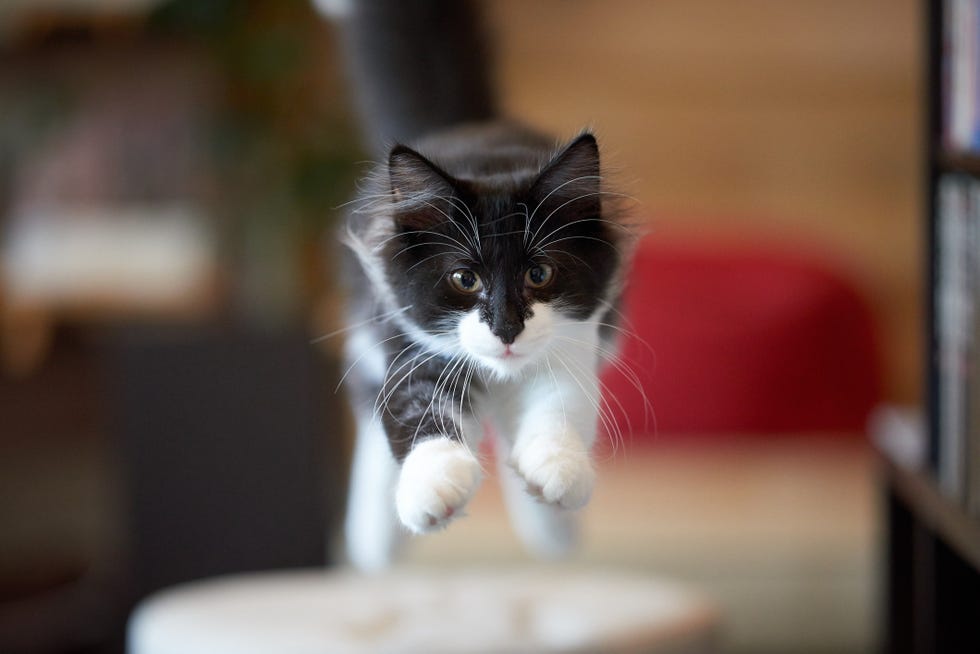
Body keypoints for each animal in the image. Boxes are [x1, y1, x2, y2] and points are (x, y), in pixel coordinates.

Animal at [340, 120, 624, 572]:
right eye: (464, 279)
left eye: (539, 274)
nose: (506, 329)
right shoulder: (411, 345)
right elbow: (415, 408)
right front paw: (435, 482)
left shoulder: (574, 343)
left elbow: (560, 404)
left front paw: (557, 467)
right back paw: (375, 537)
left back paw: (551, 527)